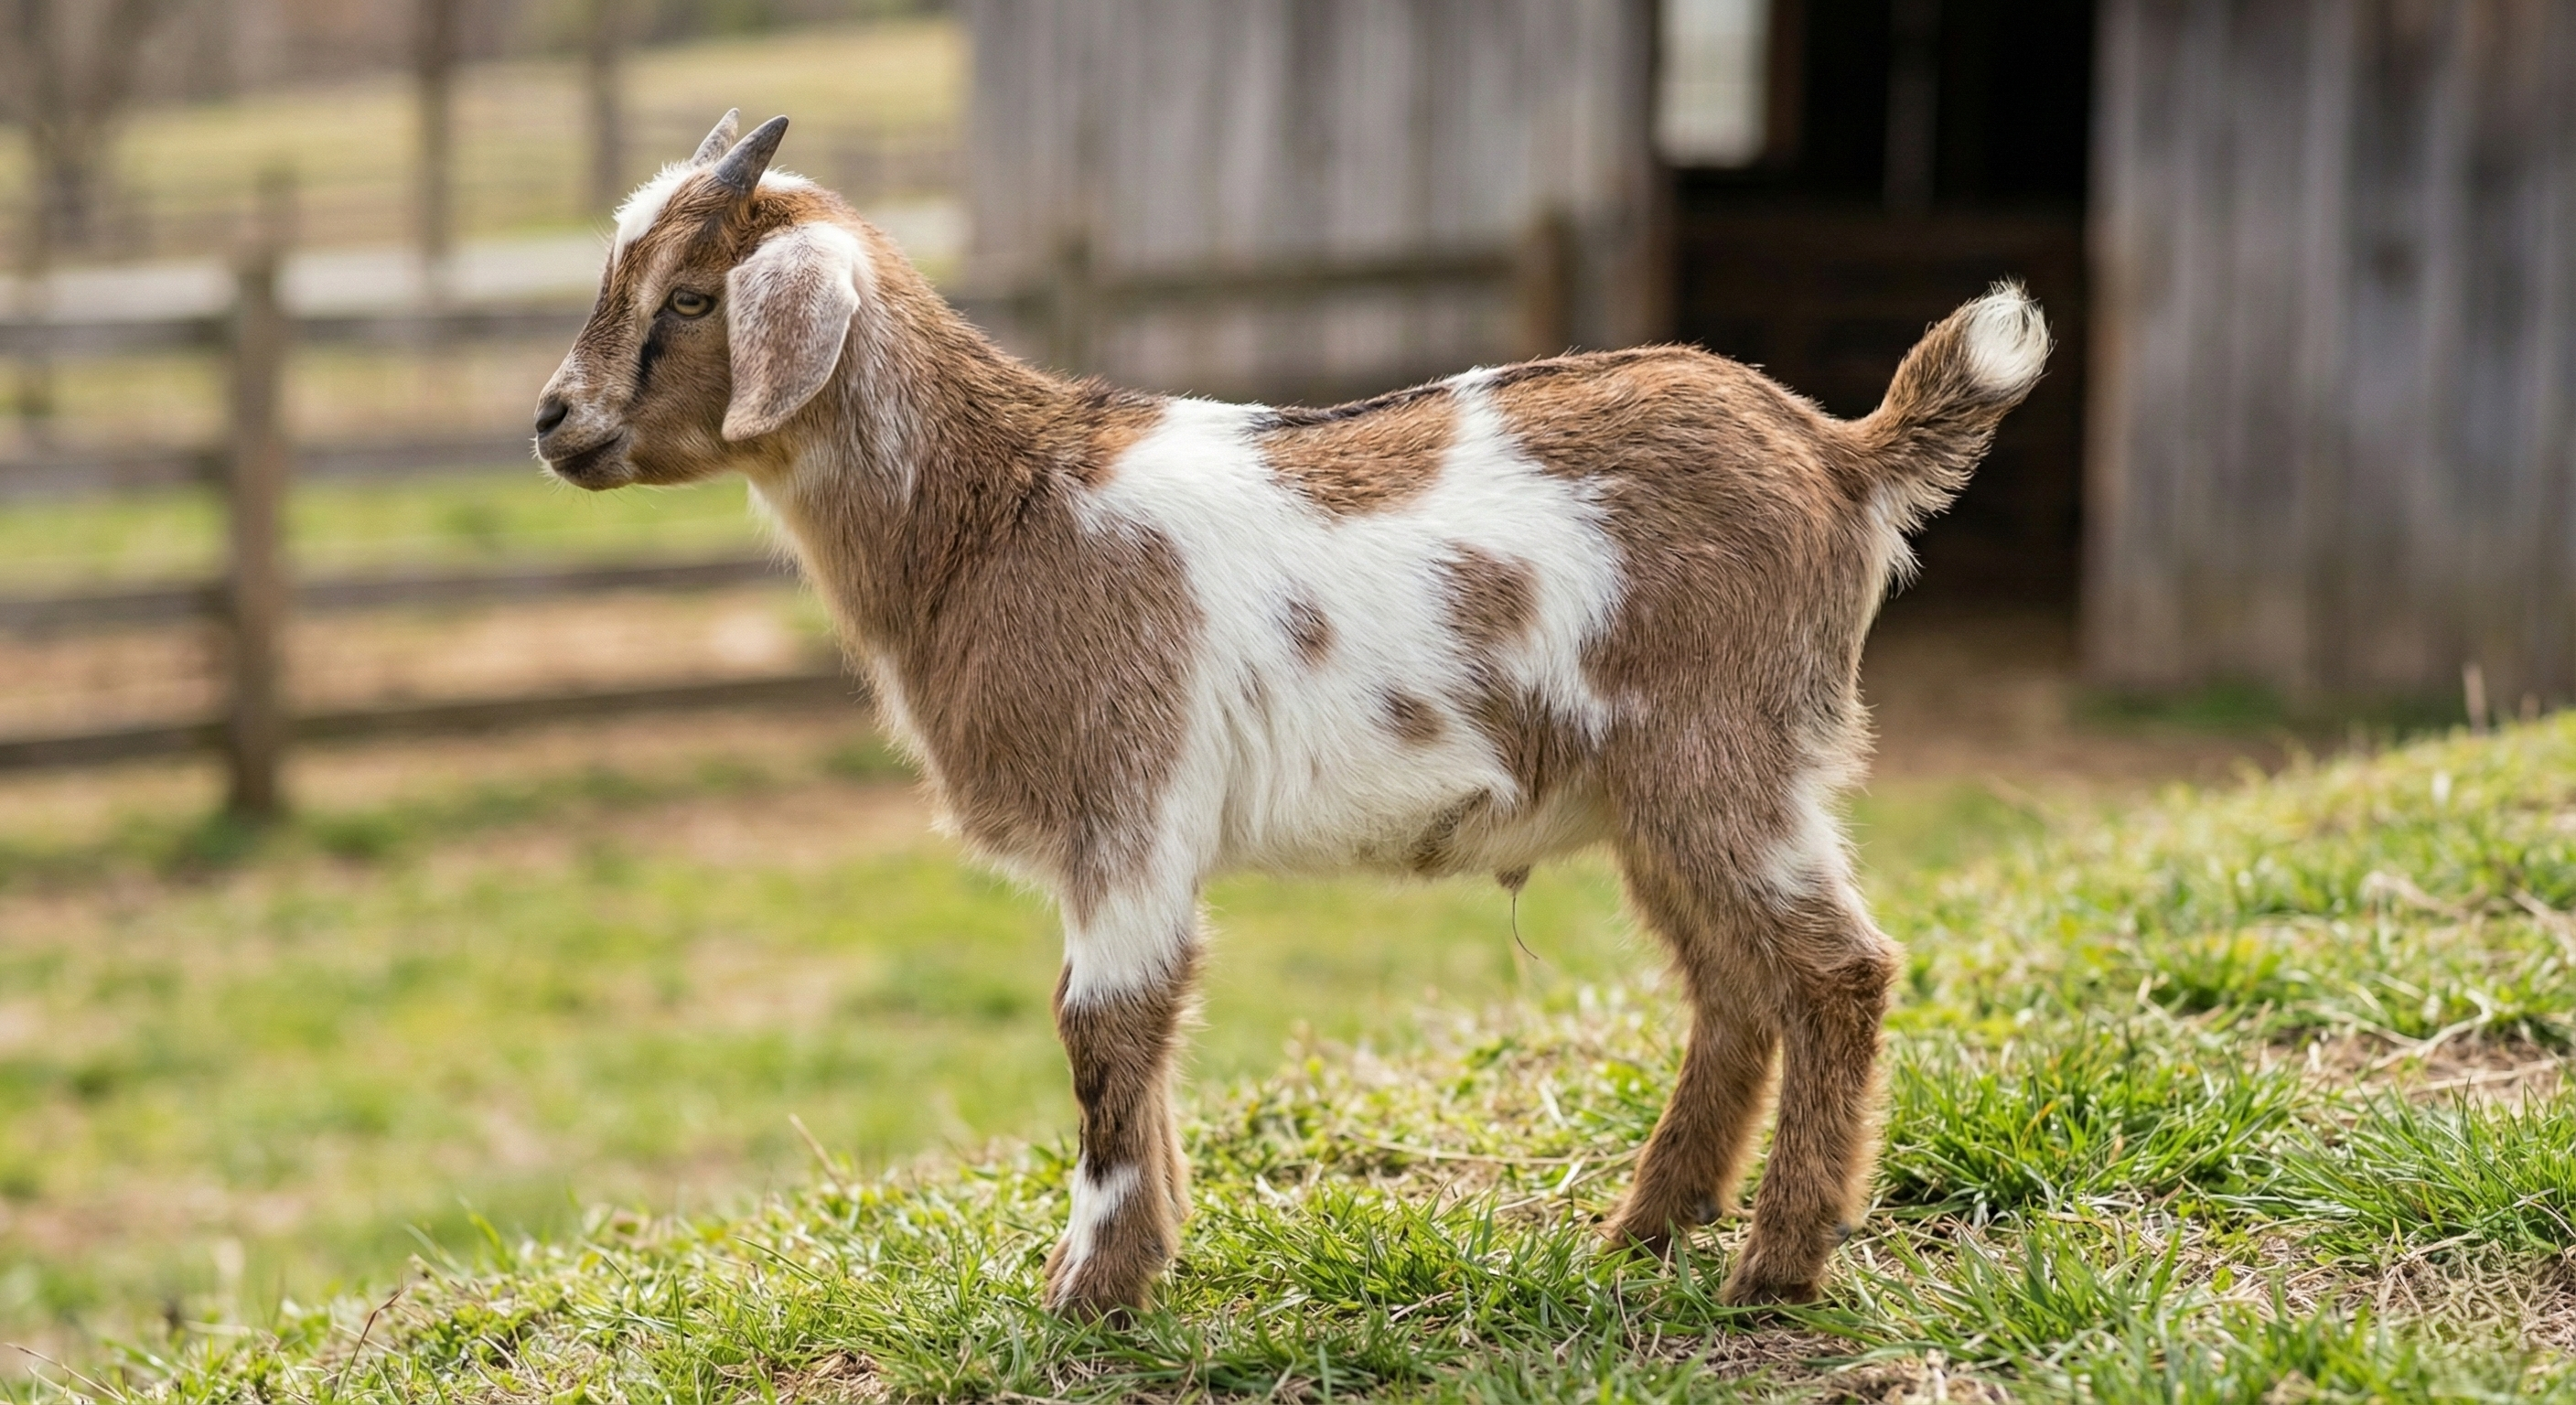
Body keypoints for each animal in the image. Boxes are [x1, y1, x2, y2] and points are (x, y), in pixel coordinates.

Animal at [534, 112, 2049, 1316]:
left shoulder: (1126, 804)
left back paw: (1774, 1268)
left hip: (1725, 757)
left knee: (1836, 971)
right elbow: (1144, 1040)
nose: (552, 423)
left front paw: (1088, 1293)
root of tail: (1842, 455)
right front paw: (1139, 1257)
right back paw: (1645, 1227)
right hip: (1659, 795)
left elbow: (1104, 1031)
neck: (1005, 511)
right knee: (1733, 987)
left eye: (689, 297)